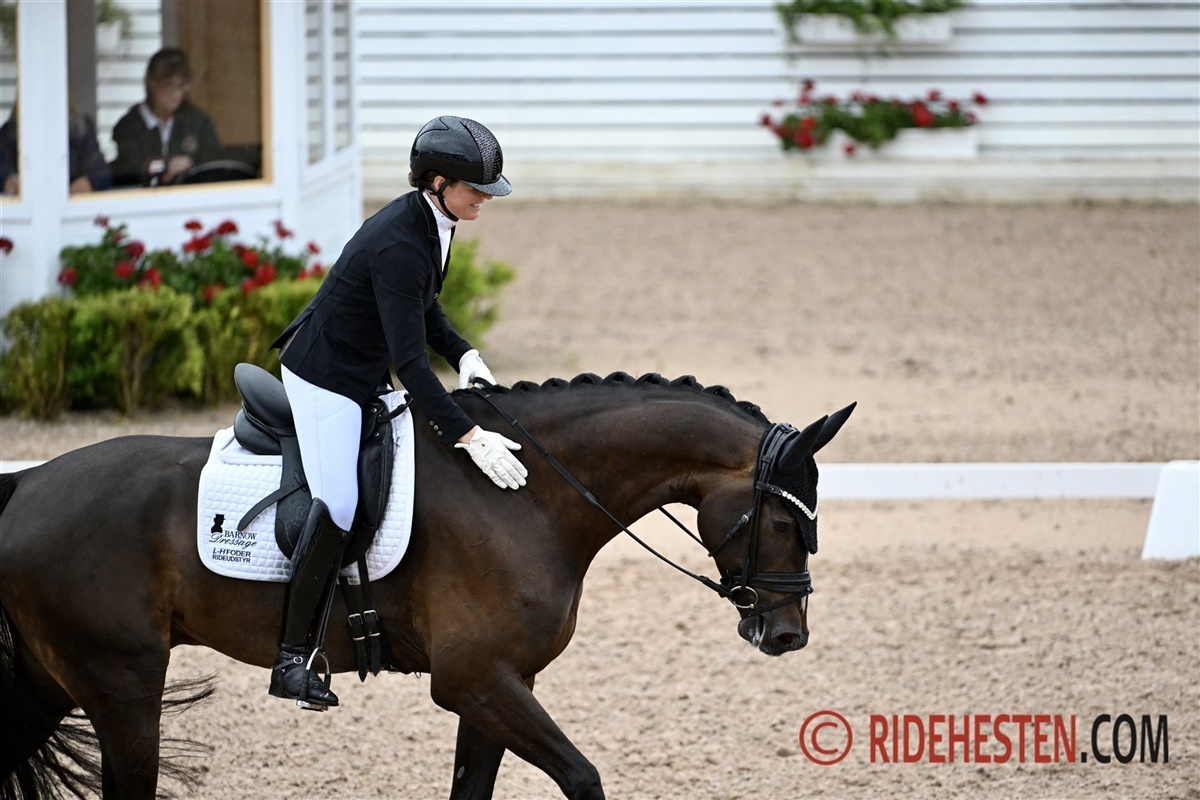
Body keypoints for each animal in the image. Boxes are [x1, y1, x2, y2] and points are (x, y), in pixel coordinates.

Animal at [0, 371, 854, 800]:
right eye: (787, 521)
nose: (788, 634)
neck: (528, 496)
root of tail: (28, 482)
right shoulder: (474, 680)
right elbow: (583, 779)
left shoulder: (500, 685)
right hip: (121, 684)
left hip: (52, 682)